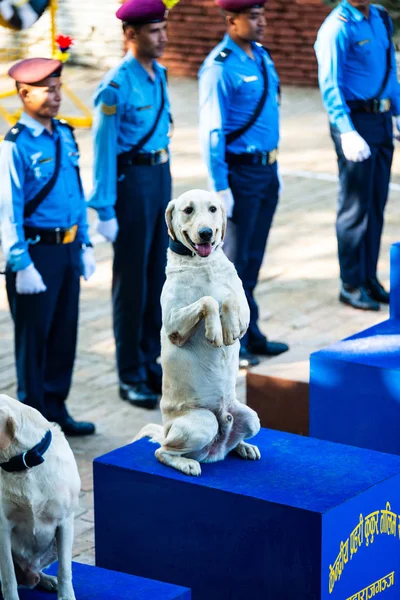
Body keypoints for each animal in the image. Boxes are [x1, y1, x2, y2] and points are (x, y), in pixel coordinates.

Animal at [0, 394, 80, 600]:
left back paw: (46, 579)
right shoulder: (2, 527)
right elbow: (8, 578)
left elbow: (65, 570)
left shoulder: (65, 521)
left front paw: (66, 595)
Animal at [137, 190, 262, 476]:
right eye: (188, 210)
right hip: (202, 423)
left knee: (232, 443)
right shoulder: (173, 324)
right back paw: (187, 463)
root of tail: (214, 452)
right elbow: (208, 300)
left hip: (252, 418)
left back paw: (243, 447)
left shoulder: (245, 310)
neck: (201, 264)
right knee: (163, 452)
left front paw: (229, 329)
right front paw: (216, 331)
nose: (205, 233)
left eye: (213, 208)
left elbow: (228, 299)